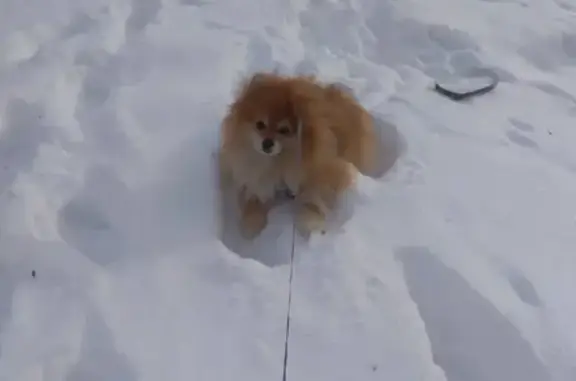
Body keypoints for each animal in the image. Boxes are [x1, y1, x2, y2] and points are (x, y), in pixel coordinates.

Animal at [218, 71, 376, 238]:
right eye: (260, 124)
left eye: (284, 130)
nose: (267, 143)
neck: (280, 163)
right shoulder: (257, 177)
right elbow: (255, 199)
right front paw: (251, 225)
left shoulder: (326, 175)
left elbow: (315, 201)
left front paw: (310, 225)